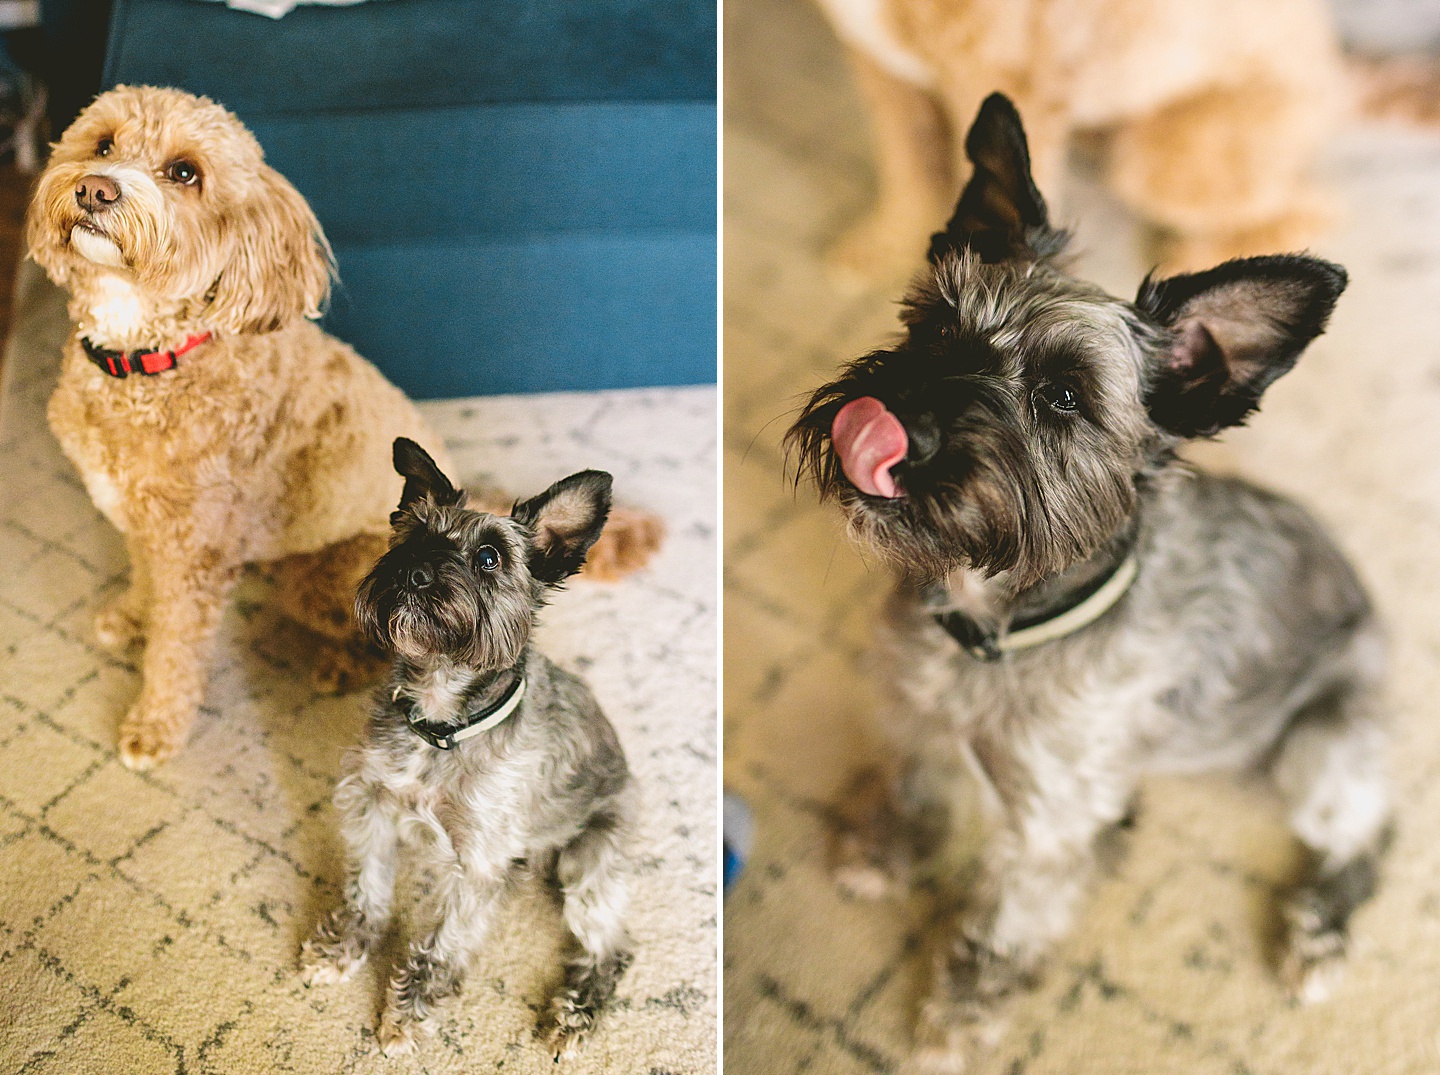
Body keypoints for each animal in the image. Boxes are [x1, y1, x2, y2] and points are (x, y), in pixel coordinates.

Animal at [32, 88, 662, 771]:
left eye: (184, 172)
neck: (151, 358)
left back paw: (340, 665)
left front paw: (154, 728)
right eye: (101, 145)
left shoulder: (194, 556)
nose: (95, 188)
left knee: (391, 637)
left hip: (321, 580)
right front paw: (131, 619)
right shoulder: (145, 524)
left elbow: (176, 651)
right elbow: (145, 580)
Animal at [299, 440, 636, 1059]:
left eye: (489, 557)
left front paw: (407, 1015)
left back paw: (574, 1016)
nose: (411, 572)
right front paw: (343, 950)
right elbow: (366, 892)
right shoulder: (370, 807)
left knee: (611, 949)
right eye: (412, 536)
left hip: (590, 865)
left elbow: (441, 946)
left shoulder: (476, 866)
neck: (441, 722)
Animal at [794, 92, 1388, 1070]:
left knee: (1369, 834)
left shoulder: (1042, 833)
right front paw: (884, 849)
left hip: (1321, 754)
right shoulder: (914, 717)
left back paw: (1318, 934)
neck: (995, 628)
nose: (893, 418)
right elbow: (916, 783)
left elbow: (999, 932)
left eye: (1063, 397)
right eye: (935, 326)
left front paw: (955, 1022)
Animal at [823, 0, 1440, 282]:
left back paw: (1194, 259)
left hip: (1163, 165)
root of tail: (1339, 72)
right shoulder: (877, 61)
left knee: (1315, 207)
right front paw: (887, 246)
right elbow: (906, 160)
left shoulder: (1009, 84)